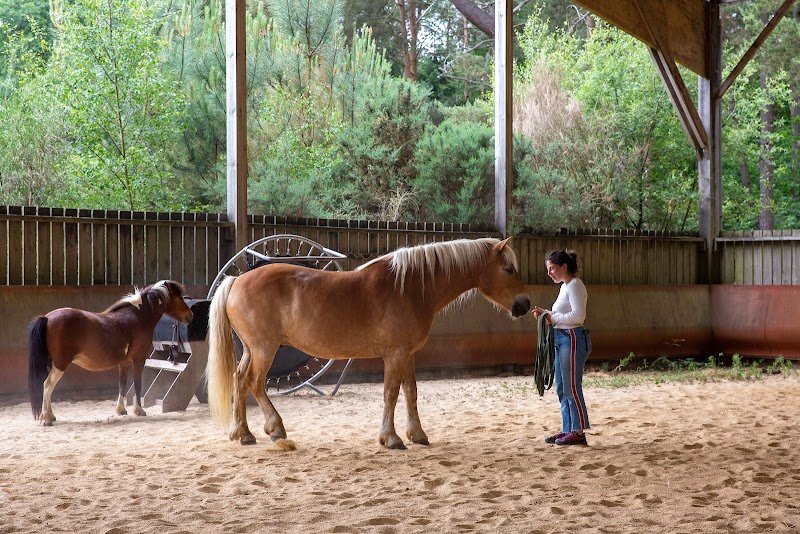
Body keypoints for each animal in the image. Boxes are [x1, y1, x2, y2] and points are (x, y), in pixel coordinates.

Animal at [28, 280, 194, 426]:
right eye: (178, 297)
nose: (190, 316)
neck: (138, 317)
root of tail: (47, 317)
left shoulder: (124, 363)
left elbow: (122, 384)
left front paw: (121, 410)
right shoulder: (139, 360)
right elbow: (137, 384)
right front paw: (139, 410)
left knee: (48, 387)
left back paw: (50, 416)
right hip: (60, 364)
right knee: (48, 385)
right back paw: (46, 419)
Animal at [205, 236, 531, 450]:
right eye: (508, 269)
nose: (525, 305)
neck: (410, 287)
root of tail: (236, 281)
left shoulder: (408, 354)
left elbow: (411, 393)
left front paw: (417, 435)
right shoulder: (395, 355)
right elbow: (390, 394)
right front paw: (391, 438)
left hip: (251, 350)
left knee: (239, 380)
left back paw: (243, 434)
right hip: (264, 349)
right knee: (254, 382)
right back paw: (275, 428)